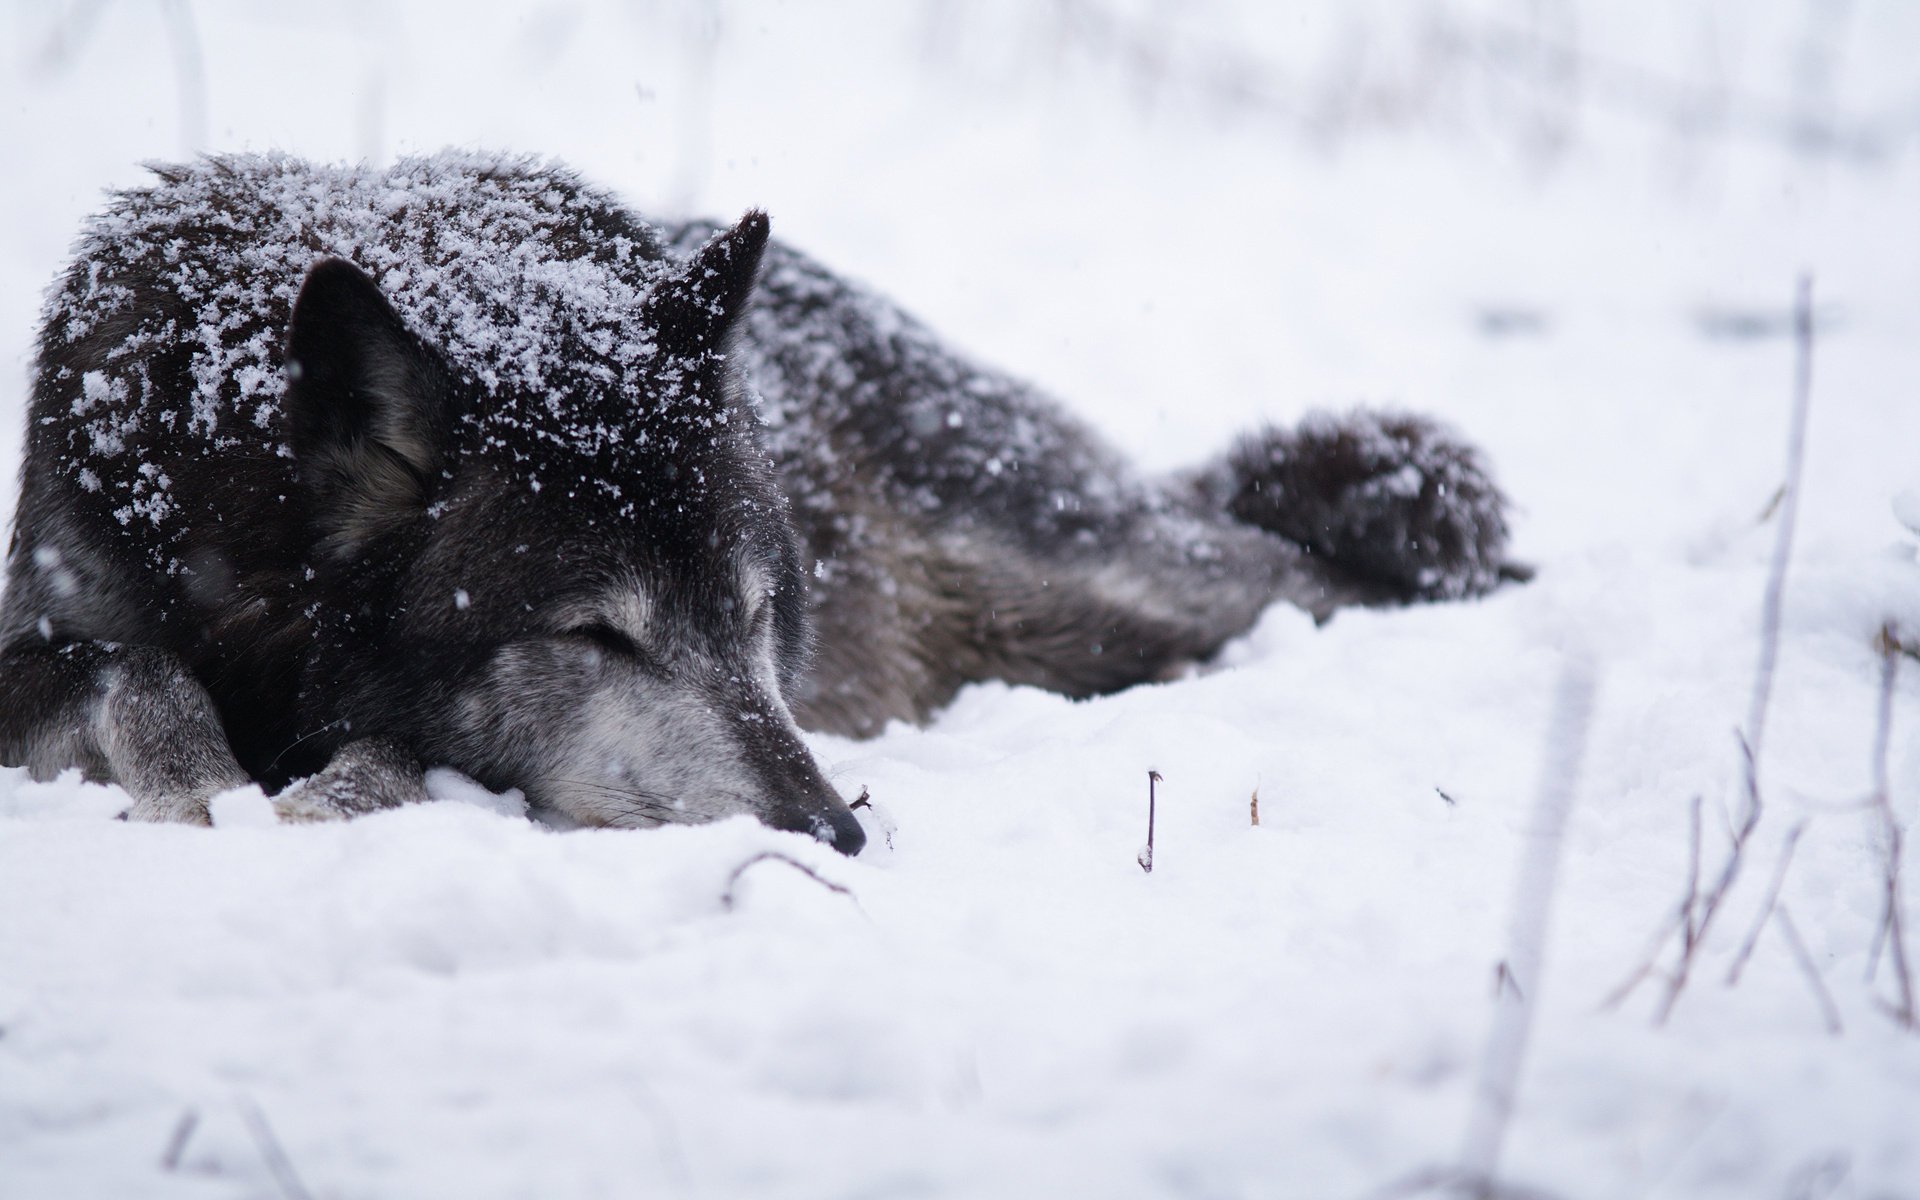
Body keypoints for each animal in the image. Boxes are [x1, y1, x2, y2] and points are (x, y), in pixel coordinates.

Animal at [0, 154, 1513, 854]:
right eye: (596, 636)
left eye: (754, 614)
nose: (837, 833)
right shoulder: (58, 613)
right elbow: (127, 662)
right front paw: (206, 781)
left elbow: (379, 749)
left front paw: (313, 795)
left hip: (1102, 583)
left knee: (1313, 576)